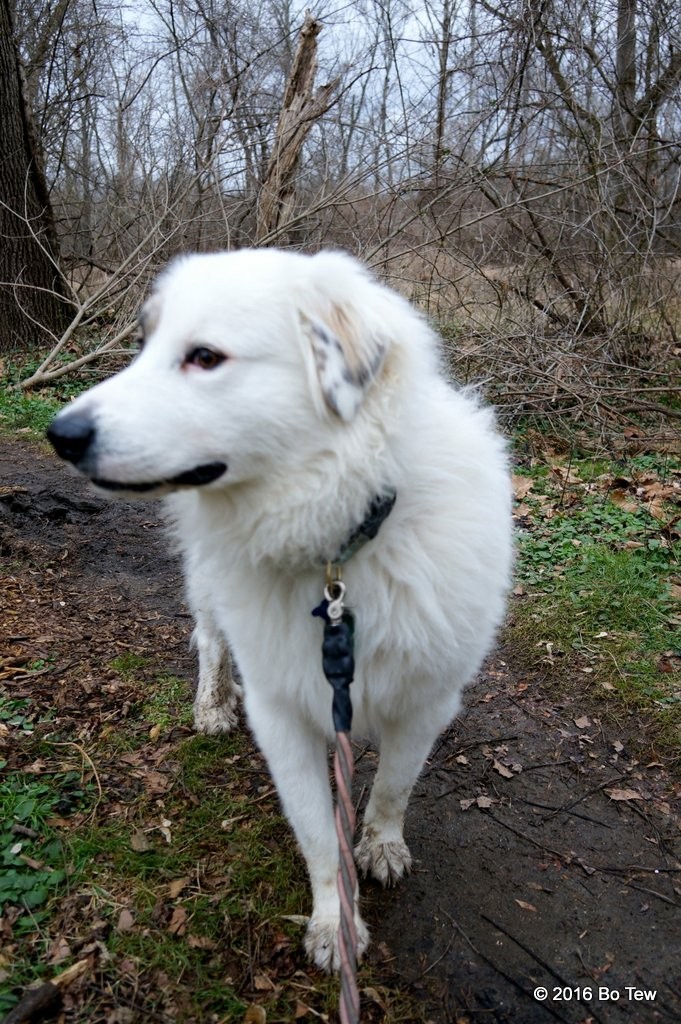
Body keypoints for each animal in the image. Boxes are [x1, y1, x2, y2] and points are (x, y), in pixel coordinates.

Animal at [46, 247, 509, 966]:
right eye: (144, 345)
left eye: (205, 356)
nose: (59, 435)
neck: (338, 549)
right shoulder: (283, 714)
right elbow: (317, 832)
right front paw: (333, 923)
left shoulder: (428, 700)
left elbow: (393, 787)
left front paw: (380, 846)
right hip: (210, 589)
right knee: (210, 641)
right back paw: (212, 704)